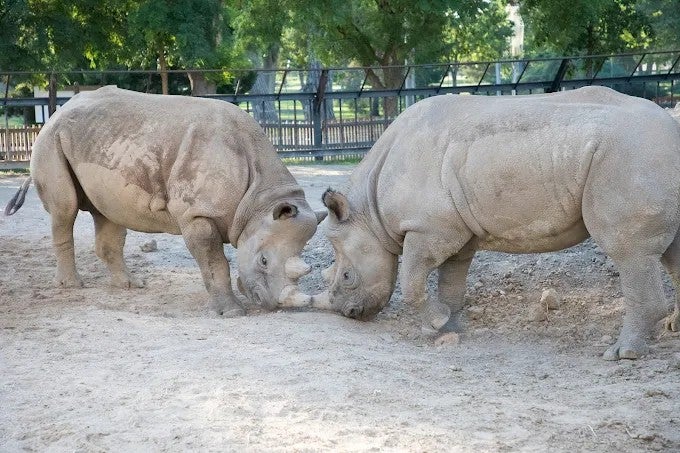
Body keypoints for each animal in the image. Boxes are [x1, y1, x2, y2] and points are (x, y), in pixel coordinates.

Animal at [5, 86, 325, 315]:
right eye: (263, 260)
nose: (270, 304)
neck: (259, 203)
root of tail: (58, 112)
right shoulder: (197, 213)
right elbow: (215, 262)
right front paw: (231, 312)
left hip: (98, 141)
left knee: (109, 214)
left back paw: (131, 286)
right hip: (50, 140)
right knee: (66, 210)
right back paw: (72, 286)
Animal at [316, 86, 680, 360]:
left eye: (347, 277)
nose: (350, 313)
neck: (367, 211)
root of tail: (671, 129)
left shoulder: (428, 228)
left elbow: (412, 282)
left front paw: (435, 323)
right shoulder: (455, 232)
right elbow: (452, 280)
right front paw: (448, 327)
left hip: (630, 156)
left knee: (629, 253)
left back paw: (622, 354)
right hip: (643, 156)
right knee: (671, 251)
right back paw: (673, 329)